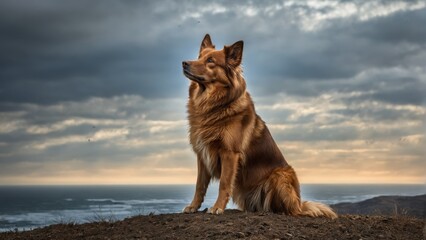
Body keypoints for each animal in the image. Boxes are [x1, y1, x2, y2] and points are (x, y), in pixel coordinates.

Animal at [181, 33, 338, 219]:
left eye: (210, 60)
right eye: (199, 57)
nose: (184, 63)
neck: (214, 105)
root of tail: (299, 202)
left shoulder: (229, 153)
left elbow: (224, 184)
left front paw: (218, 207)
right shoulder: (202, 154)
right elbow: (199, 185)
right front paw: (193, 206)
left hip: (279, 175)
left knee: (292, 210)